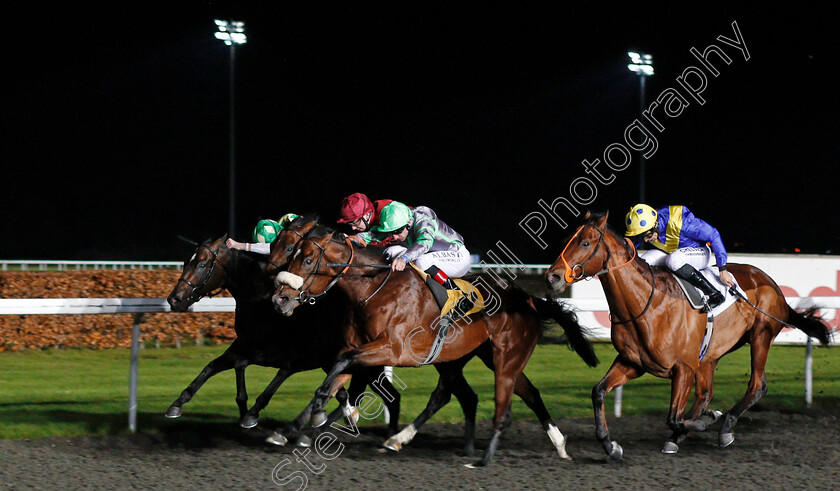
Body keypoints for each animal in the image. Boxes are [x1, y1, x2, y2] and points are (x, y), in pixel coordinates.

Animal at [166, 229, 402, 444]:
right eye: (186, 262)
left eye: (202, 265)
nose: (174, 299)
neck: (261, 303)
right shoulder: (245, 345)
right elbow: (213, 366)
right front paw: (177, 403)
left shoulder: (289, 356)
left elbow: (264, 375)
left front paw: (251, 414)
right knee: (376, 395)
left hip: (368, 359)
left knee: (384, 395)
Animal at [270, 226, 596, 466]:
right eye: (290, 255)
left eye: (307, 260)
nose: (279, 299)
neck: (373, 288)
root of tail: (528, 299)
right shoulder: (360, 349)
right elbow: (337, 376)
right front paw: (307, 422)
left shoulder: (392, 349)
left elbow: (341, 367)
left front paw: (327, 415)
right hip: (476, 356)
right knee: (519, 393)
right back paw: (559, 445)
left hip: (505, 357)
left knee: (490, 399)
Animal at [544, 212, 832, 462]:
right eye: (567, 239)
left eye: (585, 242)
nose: (552, 277)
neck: (647, 304)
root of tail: (772, 284)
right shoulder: (632, 362)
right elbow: (598, 392)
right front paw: (609, 444)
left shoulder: (682, 367)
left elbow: (673, 416)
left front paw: (708, 420)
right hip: (710, 355)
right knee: (705, 393)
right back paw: (681, 436)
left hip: (761, 335)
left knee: (756, 386)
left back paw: (724, 426)